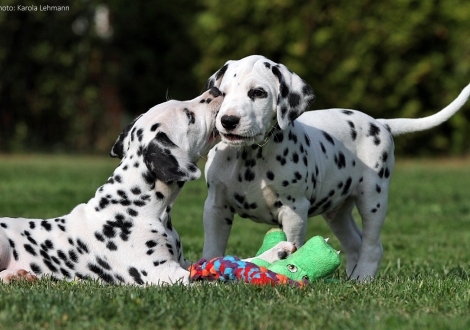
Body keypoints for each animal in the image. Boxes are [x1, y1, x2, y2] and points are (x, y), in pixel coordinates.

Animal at [0, 86, 294, 284]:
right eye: (189, 115)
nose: (215, 89)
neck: (138, 206)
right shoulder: (166, 274)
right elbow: (217, 279)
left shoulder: (185, 263)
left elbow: (232, 262)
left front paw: (276, 253)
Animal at [202, 54, 470, 282]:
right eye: (222, 93)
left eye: (258, 93)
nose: (228, 120)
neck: (250, 156)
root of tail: (379, 123)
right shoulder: (215, 207)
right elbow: (212, 249)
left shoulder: (293, 211)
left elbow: (292, 247)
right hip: (337, 212)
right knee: (353, 243)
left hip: (373, 199)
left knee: (372, 245)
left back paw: (362, 277)